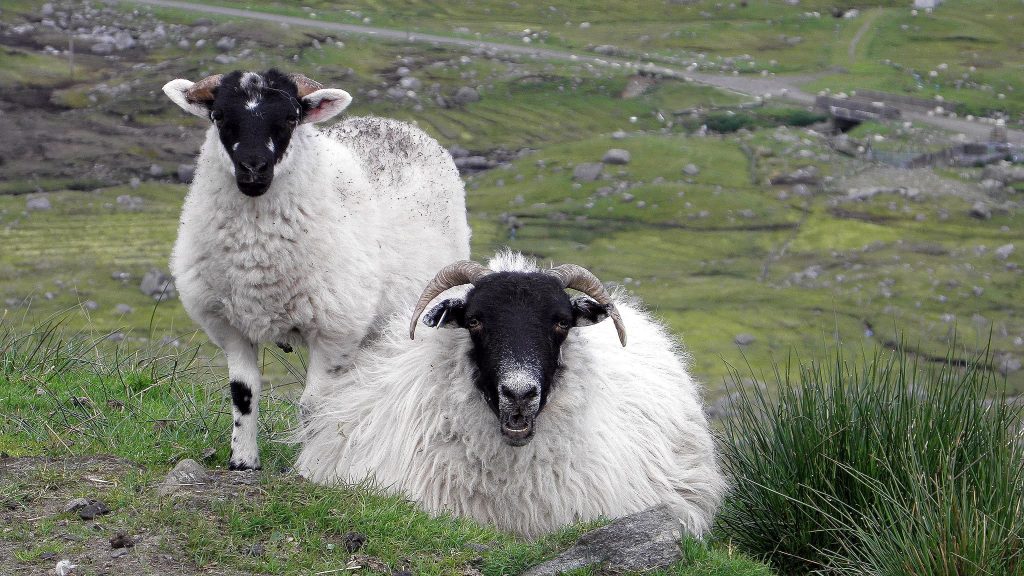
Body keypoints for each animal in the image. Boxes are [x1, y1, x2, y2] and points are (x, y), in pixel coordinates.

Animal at [163, 69, 471, 469]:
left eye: (291, 118)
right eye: (218, 116)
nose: (253, 168)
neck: (256, 259)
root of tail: (396, 123)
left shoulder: (334, 330)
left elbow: (313, 406)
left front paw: (308, 465)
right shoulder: (230, 326)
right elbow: (243, 395)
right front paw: (243, 462)